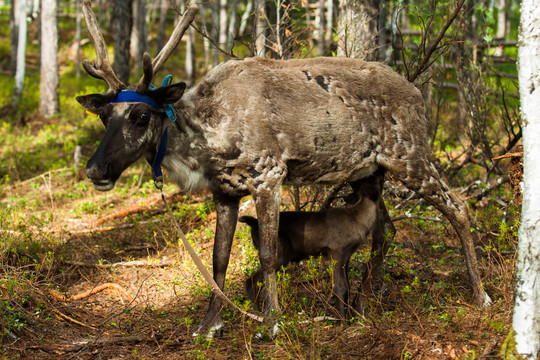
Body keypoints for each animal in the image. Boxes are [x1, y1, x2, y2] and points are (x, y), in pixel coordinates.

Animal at [240, 173, 388, 316]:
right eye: (369, 179)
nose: (380, 172)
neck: (358, 220)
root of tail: (252, 223)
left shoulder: (347, 254)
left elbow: (347, 286)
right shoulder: (336, 250)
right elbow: (339, 287)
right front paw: (342, 320)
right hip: (280, 254)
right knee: (251, 280)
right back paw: (257, 314)